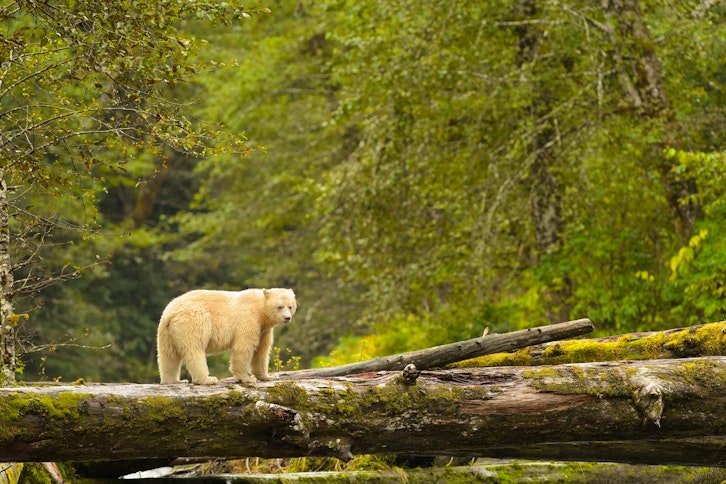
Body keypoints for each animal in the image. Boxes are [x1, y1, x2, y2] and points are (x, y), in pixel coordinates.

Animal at [156, 288, 297, 385]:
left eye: (290, 306)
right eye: (280, 307)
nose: (287, 318)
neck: (261, 311)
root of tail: (171, 313)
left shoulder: (264, 330)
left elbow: (262, 351)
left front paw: (269, 376)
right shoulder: (249, 320)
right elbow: (244, 347)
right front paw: (247, 378)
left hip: (166, 332)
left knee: (168, 355)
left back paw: (174, 381)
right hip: (193, 322)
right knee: (195, 350)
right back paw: (207, 379)